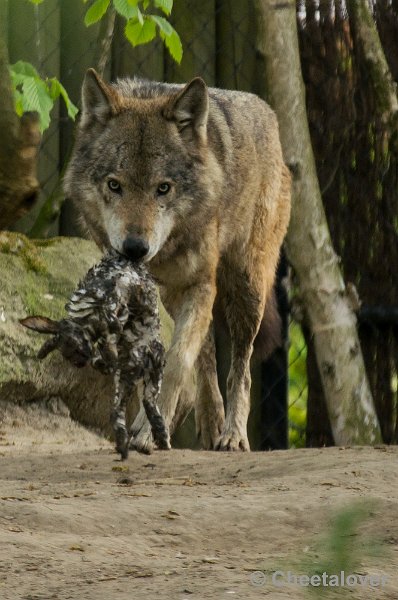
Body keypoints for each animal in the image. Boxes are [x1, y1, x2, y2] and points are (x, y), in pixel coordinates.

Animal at [63, 68, 290, 452]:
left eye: (163, 188)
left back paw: (232, 434)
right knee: (207, 355)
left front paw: (145, 432)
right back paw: (211, 423)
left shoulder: (199, 283)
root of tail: (269, 114)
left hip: (246, 289)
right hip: (178, 296)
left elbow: (177, 360)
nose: (134, 248)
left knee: (240, 368)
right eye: (114, 185)